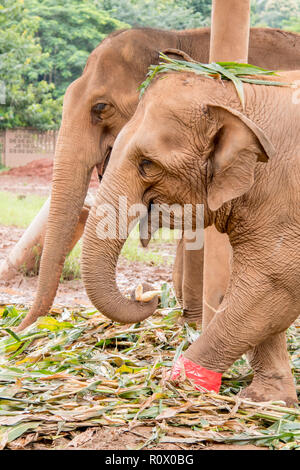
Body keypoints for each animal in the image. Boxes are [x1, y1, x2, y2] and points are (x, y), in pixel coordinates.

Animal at [79, 69, 300, 404]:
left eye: (147, 164)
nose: (148, 294)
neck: (240, 91)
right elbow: (266, 287)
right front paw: (266, 400)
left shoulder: (285, 194)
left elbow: (275, 280)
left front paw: (179, 383)